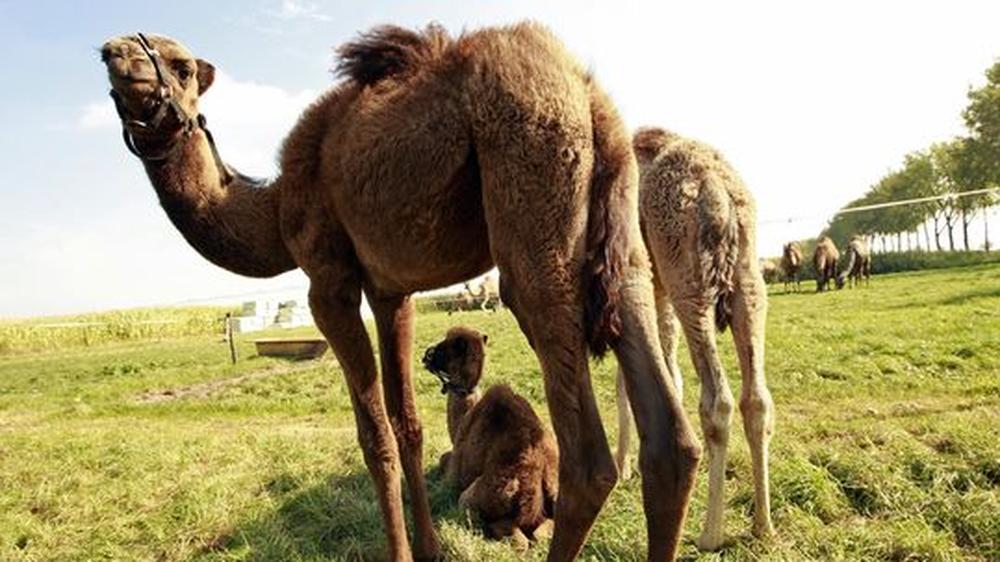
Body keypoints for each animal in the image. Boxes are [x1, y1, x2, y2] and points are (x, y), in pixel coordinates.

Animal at [422, 326, 560, 544]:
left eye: (446, 347)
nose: (427, 355)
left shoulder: (453, 476)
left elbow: (443, 462)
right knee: (540, 534)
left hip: (474, 497)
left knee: (518, 538)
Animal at [616, 126, 772, 548]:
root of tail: (718, 189)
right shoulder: (654, 287)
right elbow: (668, 374)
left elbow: (628, 384)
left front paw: (623, 469)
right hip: (746, 282)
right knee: (756, 398)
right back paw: (763, 526)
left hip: (689, 278)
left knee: (718, 400)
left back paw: (709, 534)